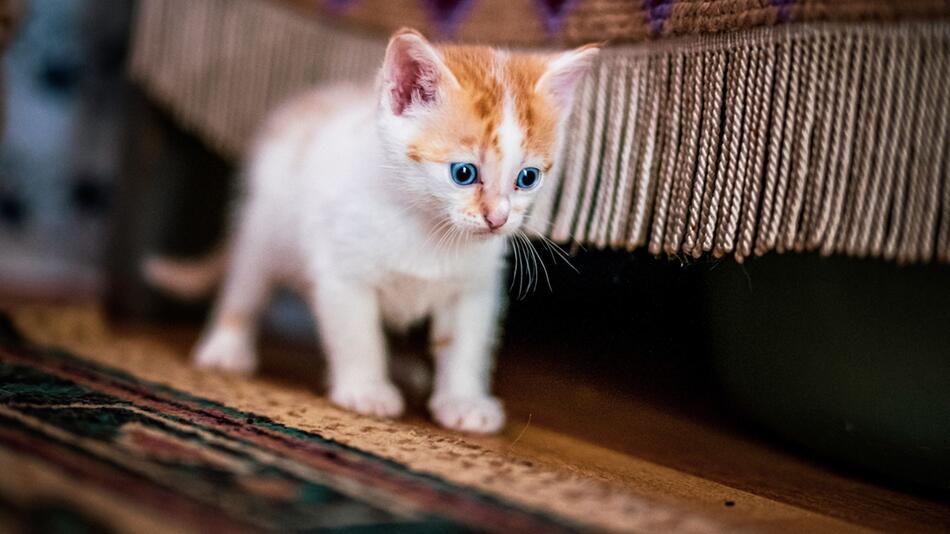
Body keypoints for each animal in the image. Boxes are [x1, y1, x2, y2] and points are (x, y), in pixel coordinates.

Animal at [146, 29, 600, 434]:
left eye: (527, 178)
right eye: (463, 173)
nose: (498, 218)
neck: (429, 229)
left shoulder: (474, 288)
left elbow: (465, 345)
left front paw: (463, 402)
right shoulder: (343, 274)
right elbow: (358, 334)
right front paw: (366, 390)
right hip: (264, 228)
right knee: (246, 287)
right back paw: (227, 347)